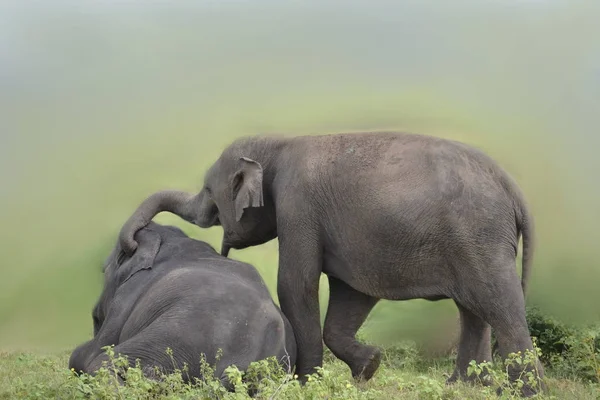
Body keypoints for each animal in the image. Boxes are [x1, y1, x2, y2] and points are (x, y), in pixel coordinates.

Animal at [118, 132, 548, 396]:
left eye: (209, 191)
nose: (131, 244)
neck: (278, 143)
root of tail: (516, 191)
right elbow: (350, 295)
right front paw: (369, 367)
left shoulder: (297, 205)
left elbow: (296, 284)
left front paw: (304, 385)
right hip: (471, 242)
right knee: (473, 309)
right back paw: (461, 387)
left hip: (480, 237)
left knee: (499, 306)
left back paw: (527, 392)